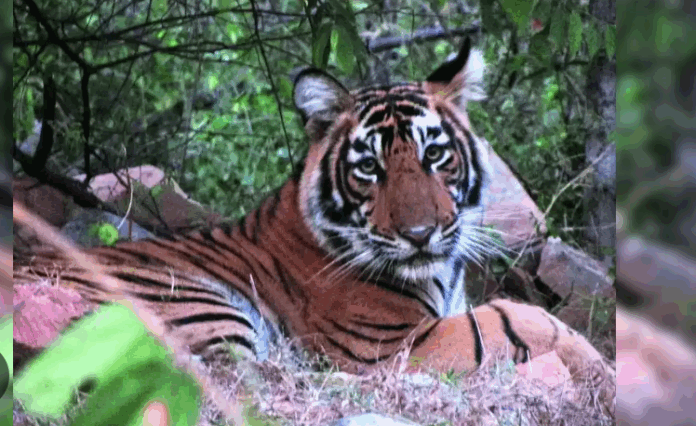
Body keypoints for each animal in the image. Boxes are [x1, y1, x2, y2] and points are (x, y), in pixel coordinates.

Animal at [15, 37, 614, 411]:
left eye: (435, 155)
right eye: (370, 168)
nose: (420, 235)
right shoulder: (387, 343)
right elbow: (525, 317)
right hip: (188, 299)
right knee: (247, 377)